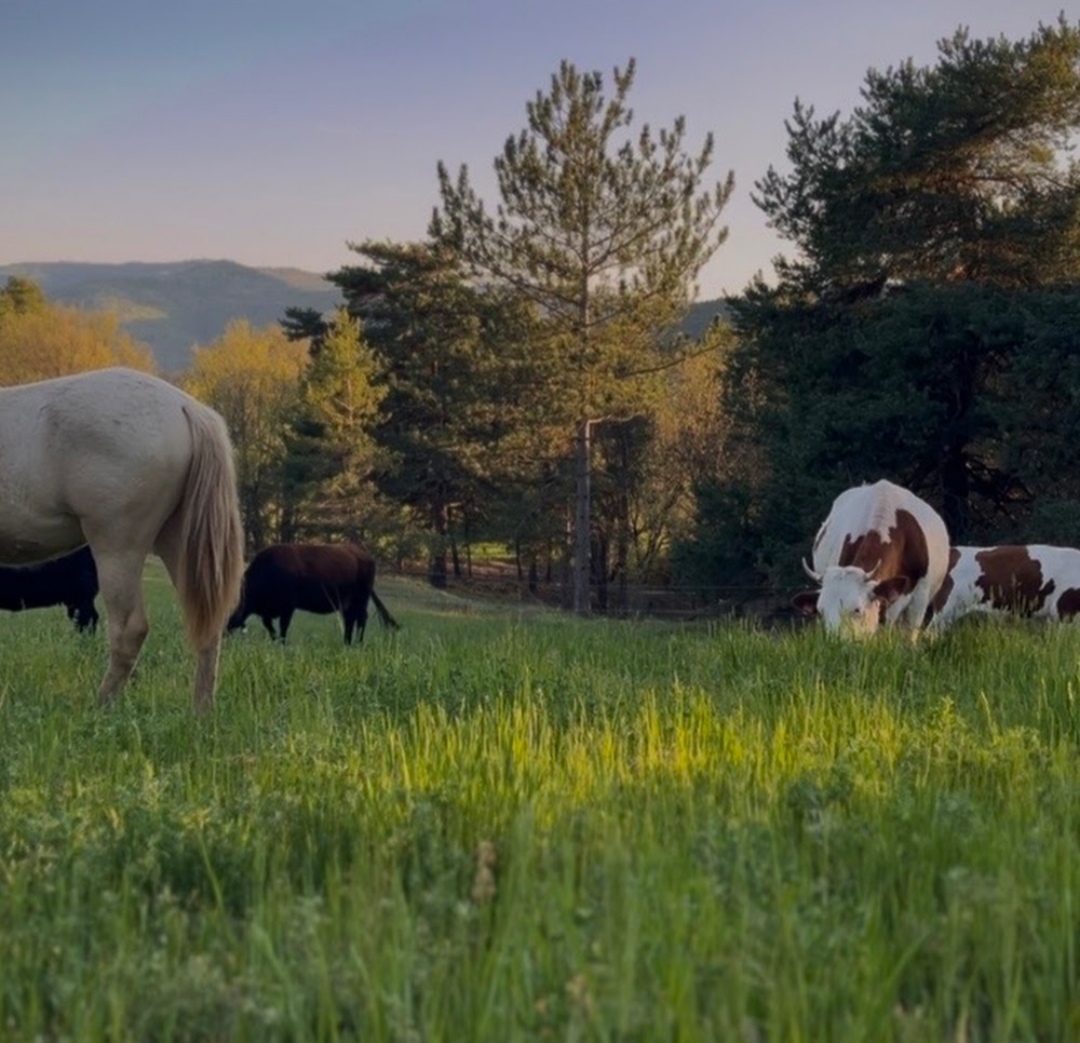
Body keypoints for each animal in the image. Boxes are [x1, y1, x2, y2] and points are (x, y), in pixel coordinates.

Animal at [0, 367, 245, 712]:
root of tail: (185, 407)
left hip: (117, 546)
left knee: (130, 629)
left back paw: (101, 705)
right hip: (179, 543)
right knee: (208, 628)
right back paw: (201, 711)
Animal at [227, 542, 401, 643]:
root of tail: (363, 554)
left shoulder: (288, 607)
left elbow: (283, 627)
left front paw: (282, 643)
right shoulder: (268, 611)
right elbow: (269, 625)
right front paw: (275, 640)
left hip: (361, 599)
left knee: (361, 618)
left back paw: (357, 642)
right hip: (347, 603)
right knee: (350, 619)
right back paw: (346, 642)